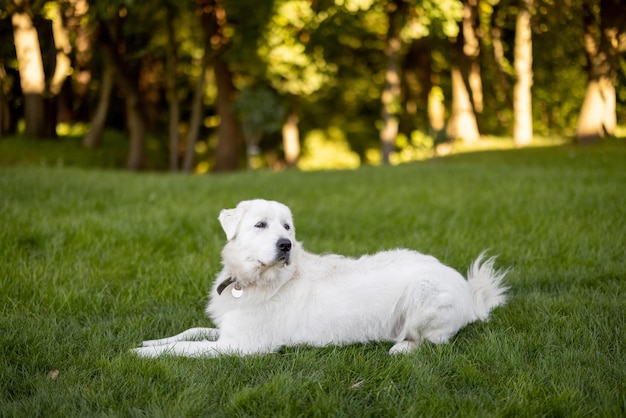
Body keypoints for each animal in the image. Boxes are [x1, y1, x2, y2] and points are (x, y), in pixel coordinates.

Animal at [133, 201, 508, 358]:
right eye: (260, 225)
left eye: (286, 227)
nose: (285, 245)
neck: (256, 280)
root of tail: (471, 293)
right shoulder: (229, 329)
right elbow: (190, 332)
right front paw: (151, 342)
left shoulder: (243, 346)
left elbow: (186, 348)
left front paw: (142, 355)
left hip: (424, 294)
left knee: (433, 341)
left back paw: (400, 348)